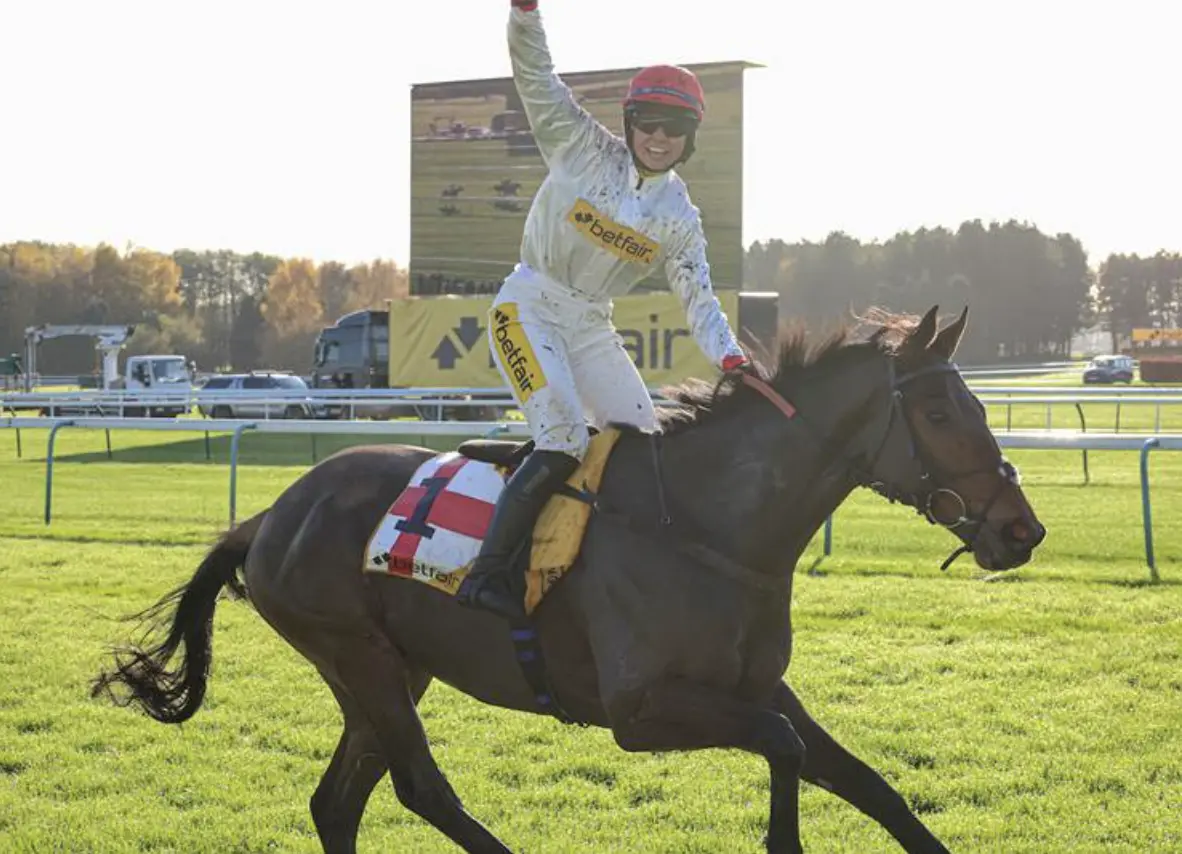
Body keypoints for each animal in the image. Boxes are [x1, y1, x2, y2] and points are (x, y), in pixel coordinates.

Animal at [92, 305, 1046, 854]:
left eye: (978, 404)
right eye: (937, 412)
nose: (1021, 529)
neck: (705, 527)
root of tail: (268, 517)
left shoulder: (756, 685)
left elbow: (865, 781)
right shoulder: (636, 711)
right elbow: (784, 747)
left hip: (389, 667)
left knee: (337, 803)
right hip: (354, 653)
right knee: (418, 787)